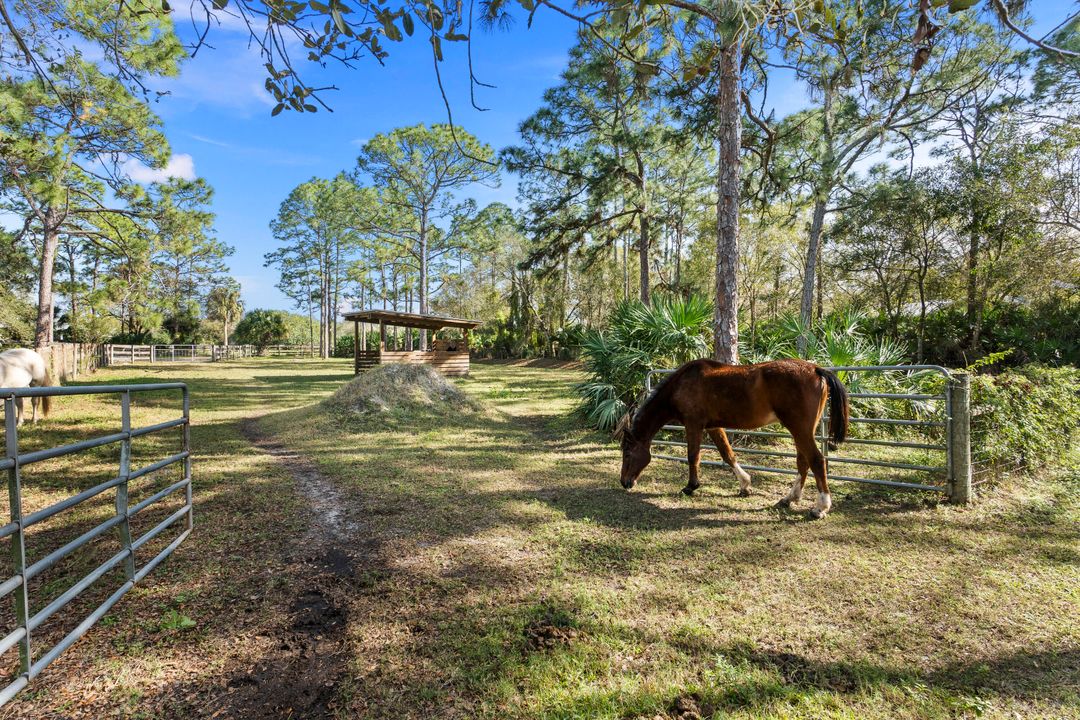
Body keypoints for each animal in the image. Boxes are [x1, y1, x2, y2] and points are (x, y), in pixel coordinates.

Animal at [622, 358, 846, 518]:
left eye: (627, 453)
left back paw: (821, 507)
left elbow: (693, 456)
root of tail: (816, 369)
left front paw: (691, 486)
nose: (624, 482)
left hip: (800, 429)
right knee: (803, 461)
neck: (682, 384)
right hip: (801, 431)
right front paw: (745, 485)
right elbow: (727, 454)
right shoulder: (713, 427)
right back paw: (789, 499)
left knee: (816, 460)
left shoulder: (693, 424)